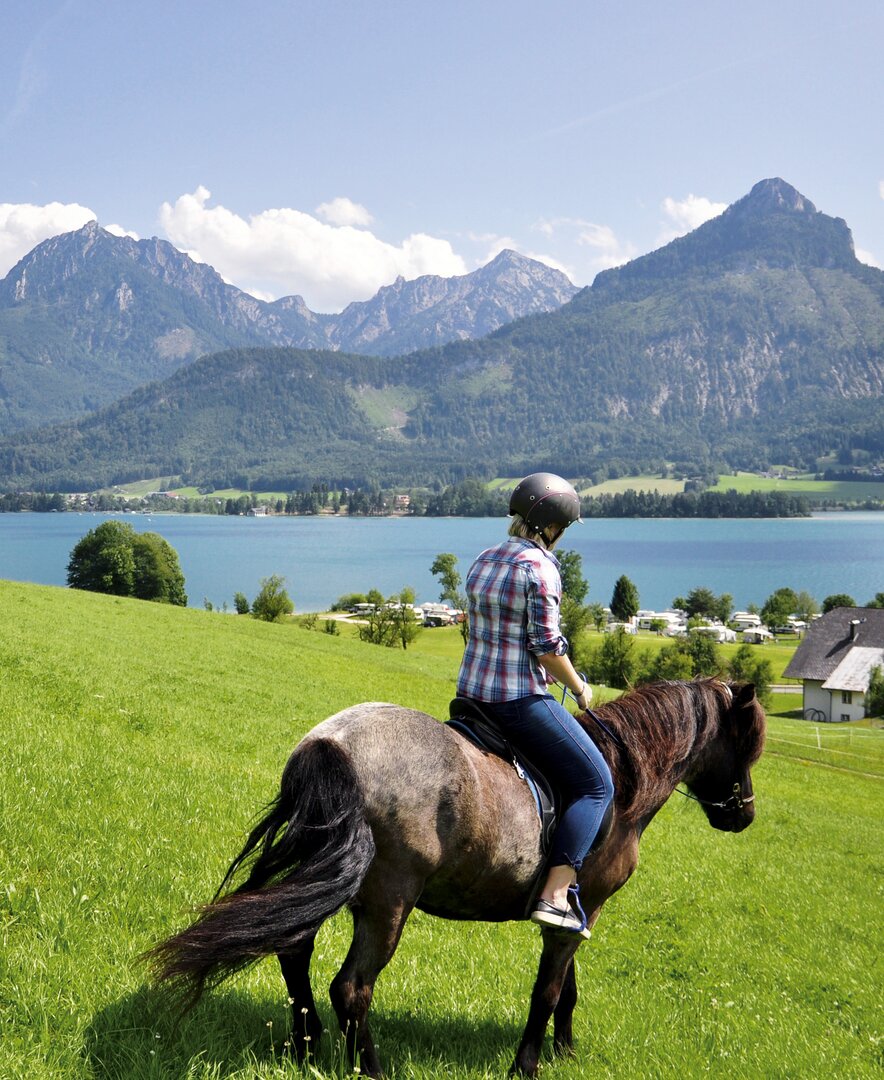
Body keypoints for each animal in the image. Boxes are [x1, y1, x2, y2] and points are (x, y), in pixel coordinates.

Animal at [146, 678, 768, 1075]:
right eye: (746, 745)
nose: (744, 815)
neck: (621, 783)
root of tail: (333, 742)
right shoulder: (580, 908)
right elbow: (548, 992)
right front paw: (528, 1065)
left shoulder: (576, 912)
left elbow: (567, 989)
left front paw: (565, 1051)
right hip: (388, 898)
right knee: (352, 987)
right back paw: (370, 1070)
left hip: (329, 874)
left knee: (294, 950)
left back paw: (306, 1048)